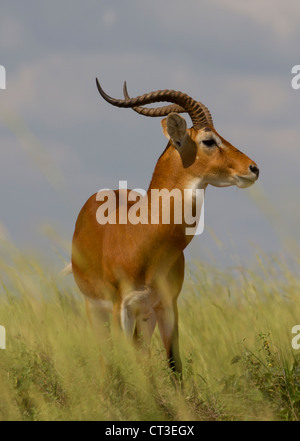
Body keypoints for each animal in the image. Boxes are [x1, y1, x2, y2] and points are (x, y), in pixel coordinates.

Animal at [71, 80, 258, 382]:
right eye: (208, 140)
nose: (253, 168)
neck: (142, 236)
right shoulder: (121, 308)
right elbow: (126, 367)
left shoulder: (168, 305)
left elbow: (174, 366)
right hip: (97, 310)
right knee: (106, 362)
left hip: (145, 319)